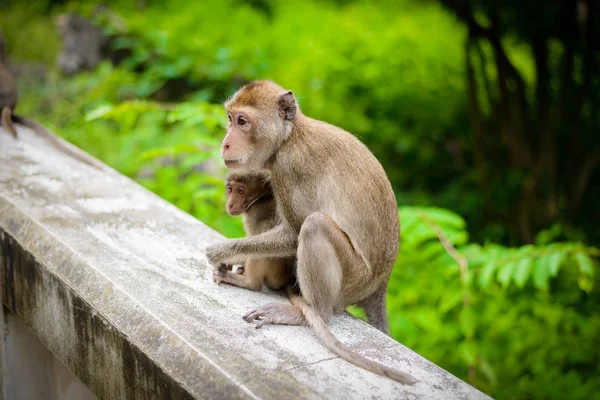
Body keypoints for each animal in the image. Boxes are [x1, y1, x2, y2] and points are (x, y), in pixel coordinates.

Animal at [204, 79, 414, 382]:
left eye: (242, 122)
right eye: (230, 119)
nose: (226, 143)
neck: (289, 138)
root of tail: (380, 284)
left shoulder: (289, 168)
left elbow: (294, 233)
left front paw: (223, 251)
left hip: (354, 279)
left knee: (315, 225)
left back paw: (310, 313)